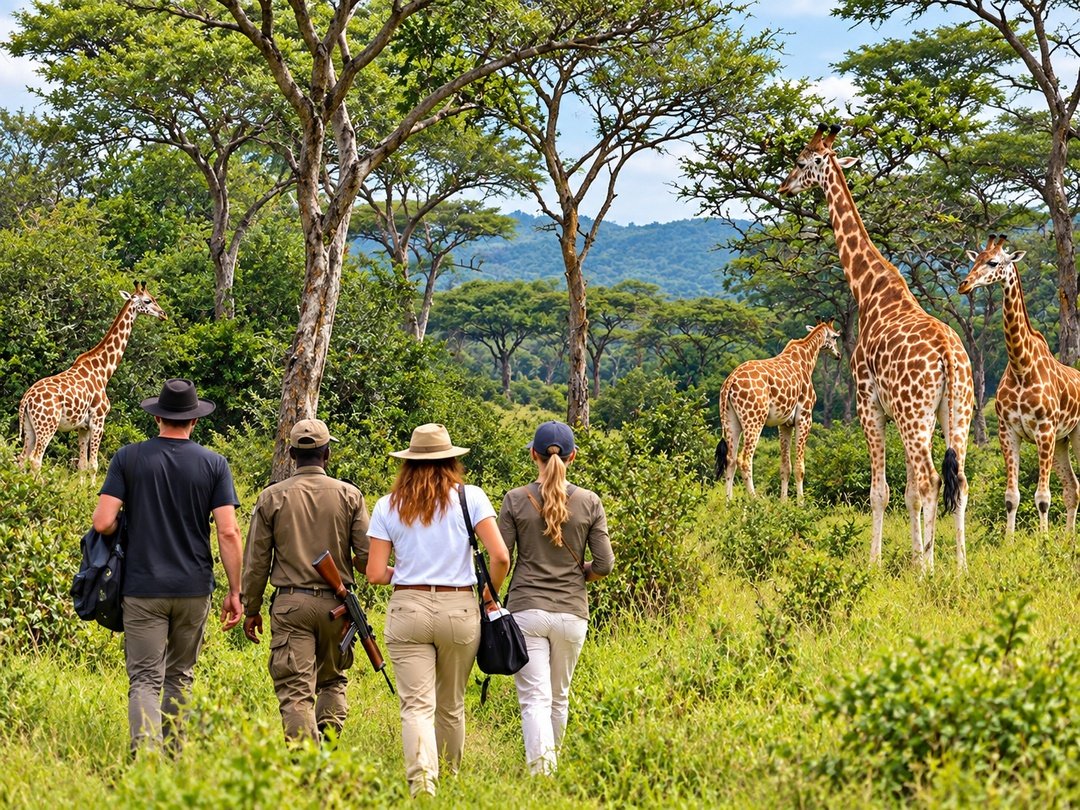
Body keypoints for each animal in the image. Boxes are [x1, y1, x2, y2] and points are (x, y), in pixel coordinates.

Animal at [18, 281, 168, 472]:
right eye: (148, 300)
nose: (163, 314)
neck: (104, 371)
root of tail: (26, 399)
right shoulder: (98, 420)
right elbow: (94, 465)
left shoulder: (82, 427)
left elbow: (82, 465)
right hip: (47, 424)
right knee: (36, 459)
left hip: (29, 426)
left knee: (22, 458)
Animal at [715, 321, 841, 503]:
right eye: (836, 336)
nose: (838, 354)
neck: (807, 358)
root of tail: (730, 381)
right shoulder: (804, 417)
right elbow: (800, 467)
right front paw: (800, 503)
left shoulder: (784, 423)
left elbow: (785, 467)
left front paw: (783, 502)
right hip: (754, 419)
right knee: (744, 460)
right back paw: (755, 500)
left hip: (731, 420)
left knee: (730, 459)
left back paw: (728, 502)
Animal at [778, 124, 974, 571]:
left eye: (802, 160)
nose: (784, 186)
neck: (868, 290)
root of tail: (949, 354)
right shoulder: (902, 413)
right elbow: (907, 492)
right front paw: (913, 554)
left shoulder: (869, 404)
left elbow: (881, 491)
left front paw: (877, 561)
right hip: (957, 413)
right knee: (958, 481)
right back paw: (959, 567)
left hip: (915, 414)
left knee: (932, 479)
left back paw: (930, 571)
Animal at [959, 235, 1080, 536]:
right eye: (974, 259)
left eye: (993, 262)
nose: (964, 284)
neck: (1020, 365)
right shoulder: (1008, 431)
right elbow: (1011, 497)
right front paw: (1009, 541)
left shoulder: (1044, 431)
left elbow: (1043, 497)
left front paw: (1043, 541)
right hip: (1062, 441)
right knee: (1072, 488)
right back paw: (1068, 539)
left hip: (1072, 435)